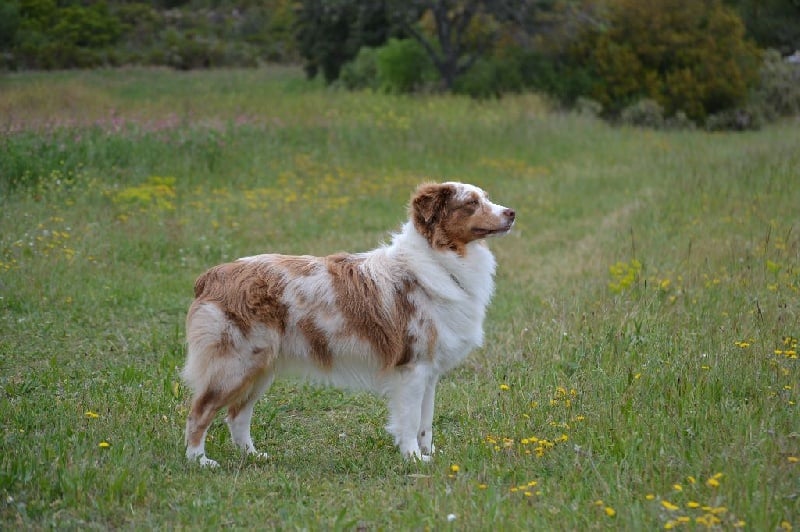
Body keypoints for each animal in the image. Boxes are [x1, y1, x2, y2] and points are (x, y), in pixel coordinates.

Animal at [183, 182, 512, 466]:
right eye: (471, 203)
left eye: (485, 197)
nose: (511, 213)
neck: (440, 260)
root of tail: (211, 276)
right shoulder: (412, 368)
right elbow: (408, 421)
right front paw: (413, 458)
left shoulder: (428, 372)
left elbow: (425, 423)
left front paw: (428, 455)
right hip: (234, 365)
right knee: (199, 412)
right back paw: (200, 461)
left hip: (260, 368)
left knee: (237, 415)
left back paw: (252, 456)